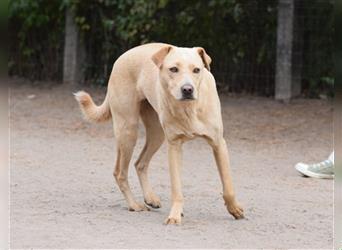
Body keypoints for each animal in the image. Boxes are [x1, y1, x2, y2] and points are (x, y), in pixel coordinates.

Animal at [75, 42, 243, 225]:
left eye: (197, 70)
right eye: (174, 69)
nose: (187, 89)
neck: (188, 109)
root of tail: (123, 56)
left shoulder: (218, 143)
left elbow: (228, 186)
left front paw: (235, 209)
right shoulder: (174, 146)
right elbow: (176, 188)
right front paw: (175, 215)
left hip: (157, 135)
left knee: (140, 163)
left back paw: (150, 198)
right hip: (128, 132)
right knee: (120, 172)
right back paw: (134, 205)